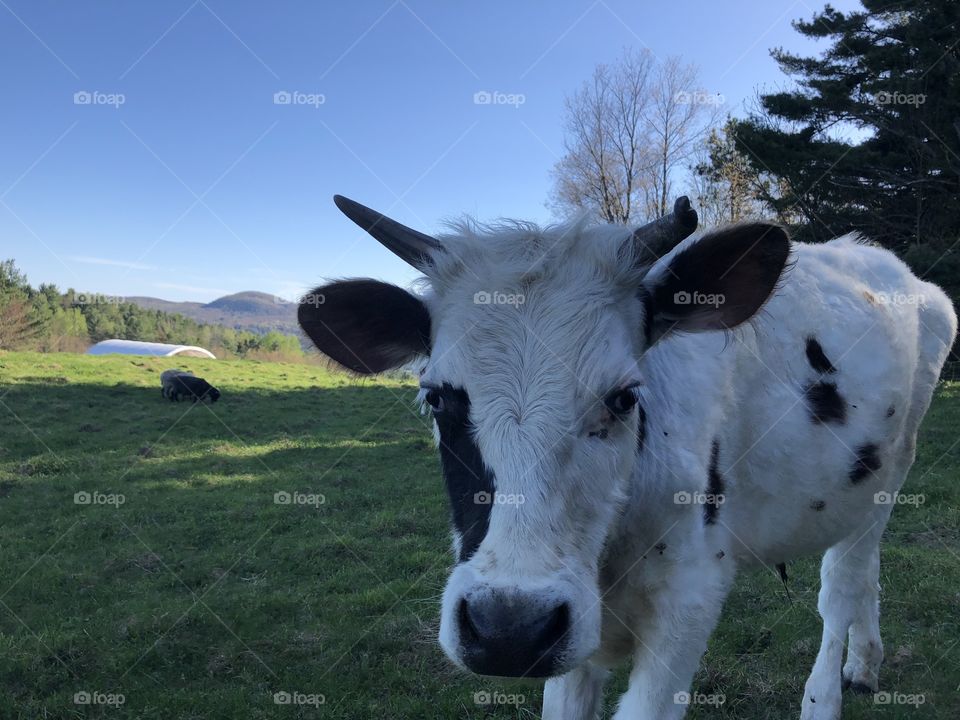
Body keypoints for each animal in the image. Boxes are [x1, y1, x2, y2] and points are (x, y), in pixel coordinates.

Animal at [298, 195, 956, 720]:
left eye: (623, 396)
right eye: (437, 398)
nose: (509, 630)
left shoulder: (688, 602)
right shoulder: (570, 637)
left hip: (885, 478)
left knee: (843, 581)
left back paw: (826, 695)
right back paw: (865, 662)